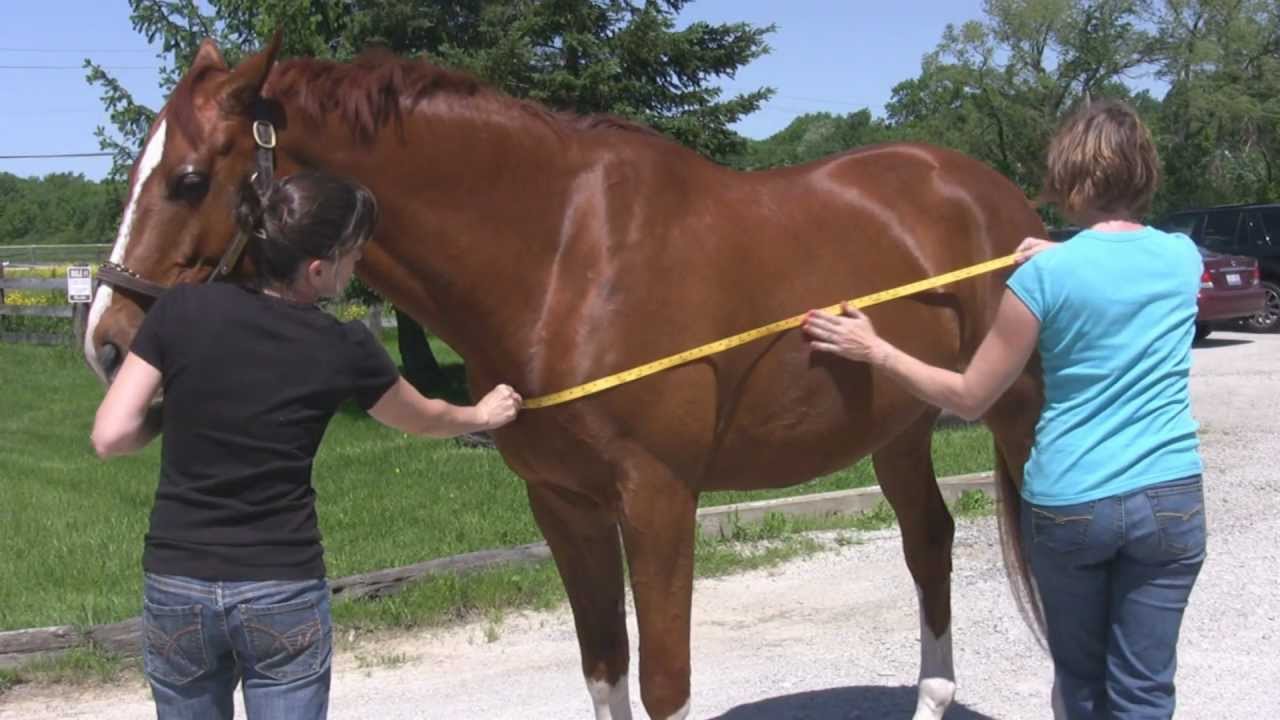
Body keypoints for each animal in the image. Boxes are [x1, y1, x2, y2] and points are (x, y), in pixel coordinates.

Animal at [80, 35, 1044, 717]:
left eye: (188, 178)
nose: (109, 344)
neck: (568, 258)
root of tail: (994, 194)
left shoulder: (658, 501)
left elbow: (663, 686)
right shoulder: (564, 505)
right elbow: (603, 671)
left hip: (1018, 416)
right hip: (902, 428)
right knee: (928, 542)